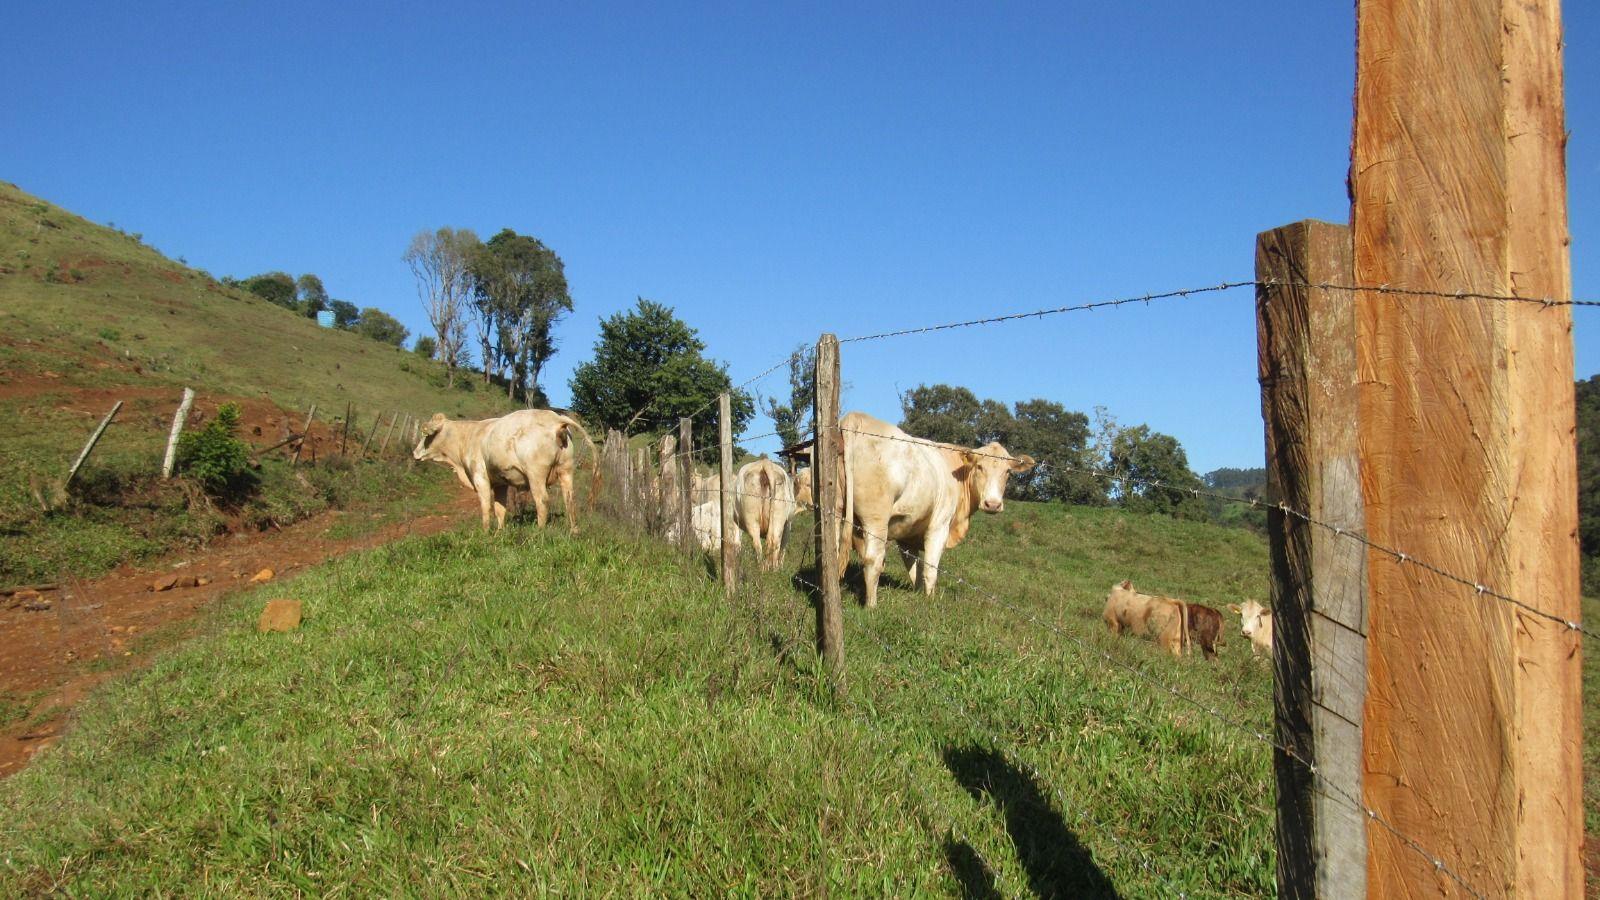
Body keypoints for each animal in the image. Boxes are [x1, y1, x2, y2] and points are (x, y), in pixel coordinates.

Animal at [419, 408, 601, 528]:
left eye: (427, 435)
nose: (415, 452)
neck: (468, 436)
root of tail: (555, 419)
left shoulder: (480, 477)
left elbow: (486, 507)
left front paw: (486, 533)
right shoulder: (500, 483)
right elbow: (500, 508)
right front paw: (499, 533)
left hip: (535, 475)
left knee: (542, 501)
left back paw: (539, 533)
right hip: (566, 471)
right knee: (569, 499)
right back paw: (573, 531)